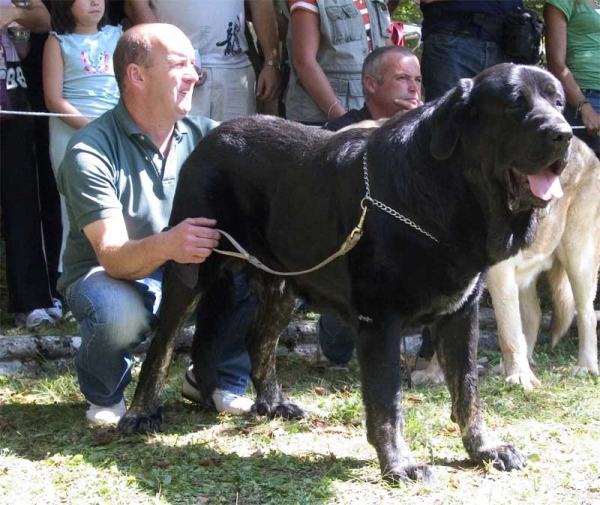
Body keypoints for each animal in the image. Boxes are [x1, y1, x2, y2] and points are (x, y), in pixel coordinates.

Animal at [117, 65, 572, 482]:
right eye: (515, 105)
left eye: (558, 102)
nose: (564, 134)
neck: (447, 195)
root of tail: (207, 138)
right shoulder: (380, 319)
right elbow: (388, 397)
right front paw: (399, 463)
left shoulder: (461, 314)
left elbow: (467, 390)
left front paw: (483, 449)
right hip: (192, 265)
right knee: (161, 346)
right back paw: (140, 413)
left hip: (283, 284)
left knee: (258, 339)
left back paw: (273, 403)